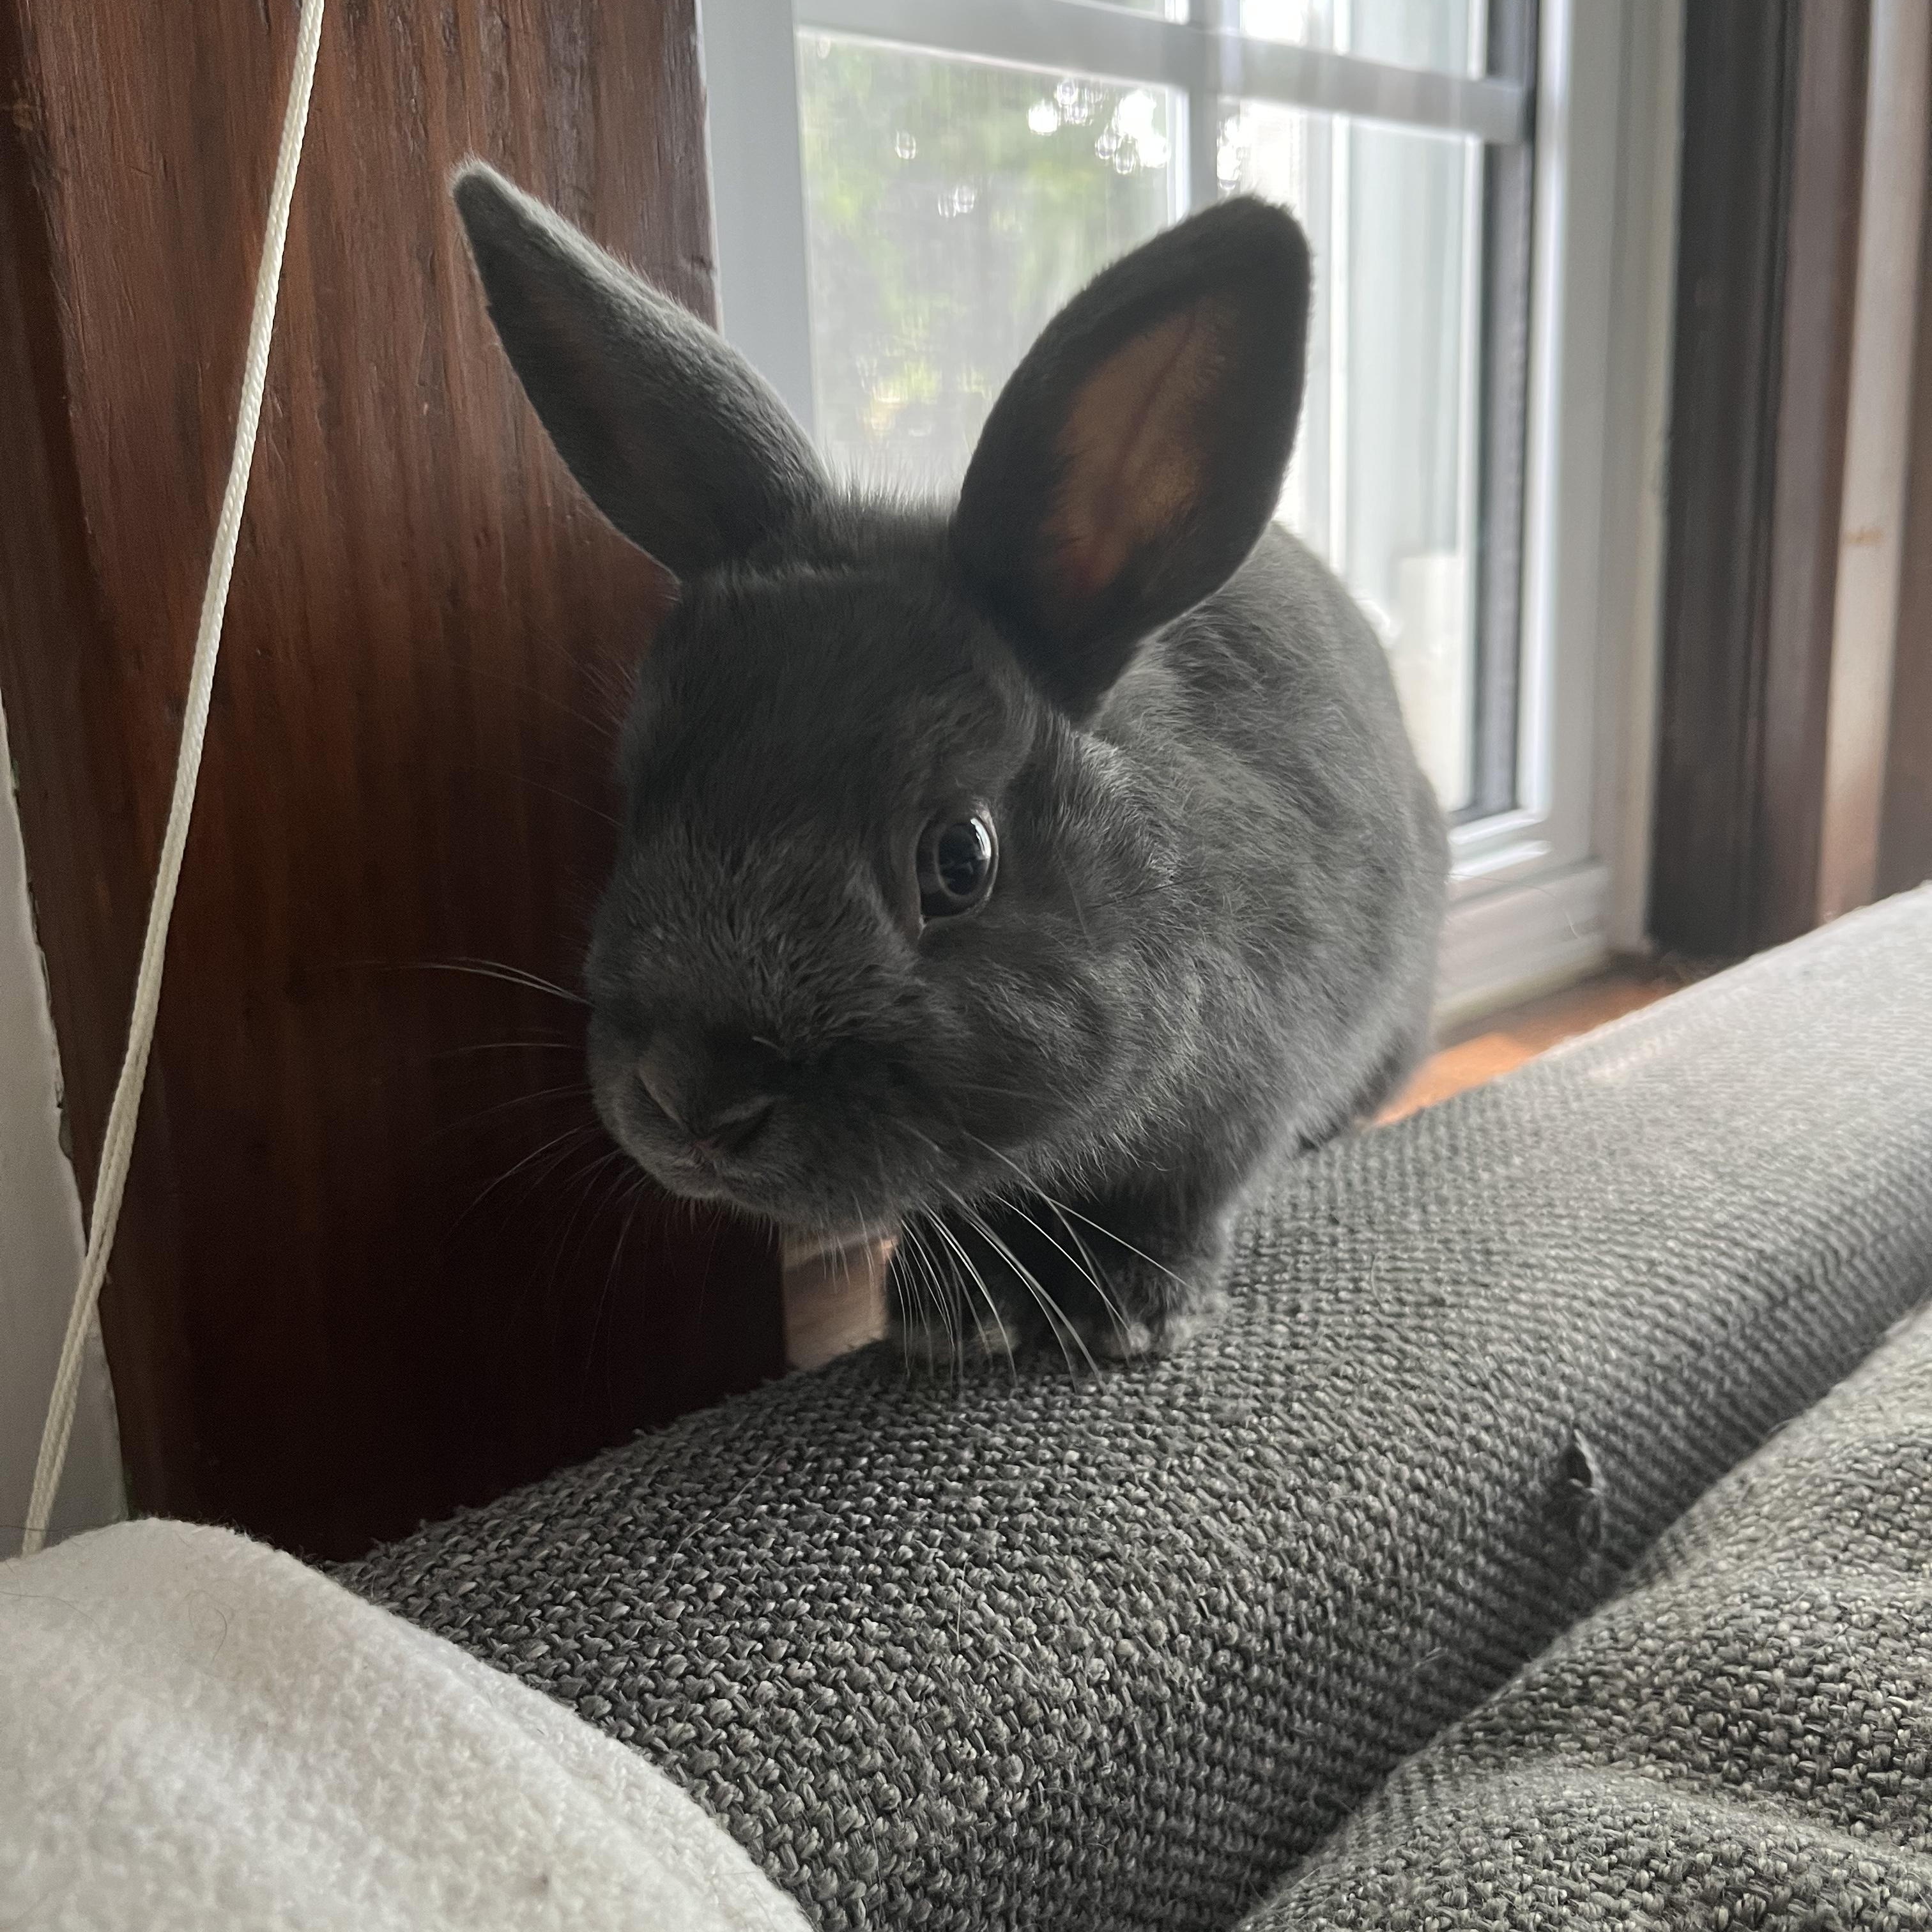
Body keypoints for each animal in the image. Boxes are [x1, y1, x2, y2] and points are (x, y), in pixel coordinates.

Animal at [451, 161, 1448, 1363]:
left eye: (959, 859)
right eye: (639, 792)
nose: (693, 1103)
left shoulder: (1249, 1083)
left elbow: (1188, 1190)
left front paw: (1132, 1306)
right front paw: (955, 1315)